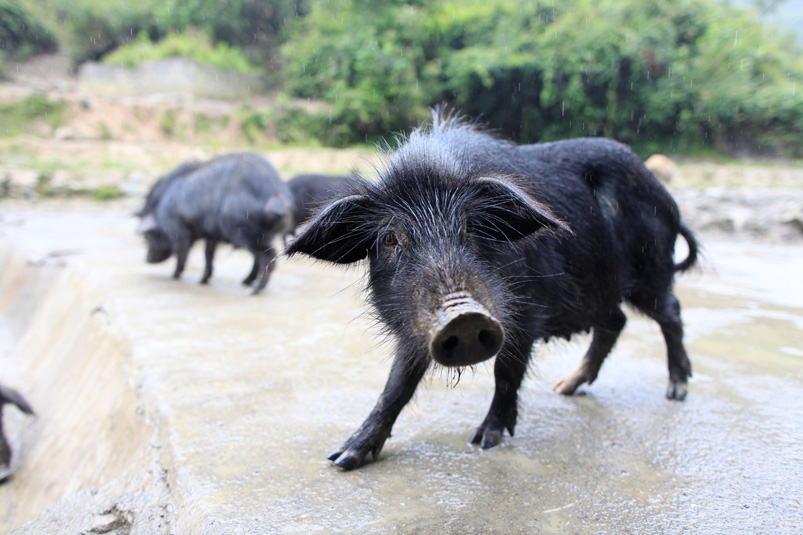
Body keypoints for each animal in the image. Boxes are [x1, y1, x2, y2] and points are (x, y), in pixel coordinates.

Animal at [139, 153, 296, 296]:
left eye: (148, 236)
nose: (147, 260)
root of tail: (277, 195)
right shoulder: (211, 233)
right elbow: (208, 253)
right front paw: (203, 280)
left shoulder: (178, 227)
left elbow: (182, 251)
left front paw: (174, 275)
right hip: (261, 234)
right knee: (259, 258)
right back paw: (245, 282)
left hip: (243, 230)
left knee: (268, 255)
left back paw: (254, 290)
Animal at [288, 112, 696, 468]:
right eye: (390, 239)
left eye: (473, 227)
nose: (463, 316)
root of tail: (666, 197)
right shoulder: (414, 327)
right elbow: (396, 386)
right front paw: (342, 459)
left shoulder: (525, 312)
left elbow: (506, 372)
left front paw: (484, 441)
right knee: (616, 321)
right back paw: (565, 388)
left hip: (651, 268)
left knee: (670, 312)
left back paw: (676, 392)